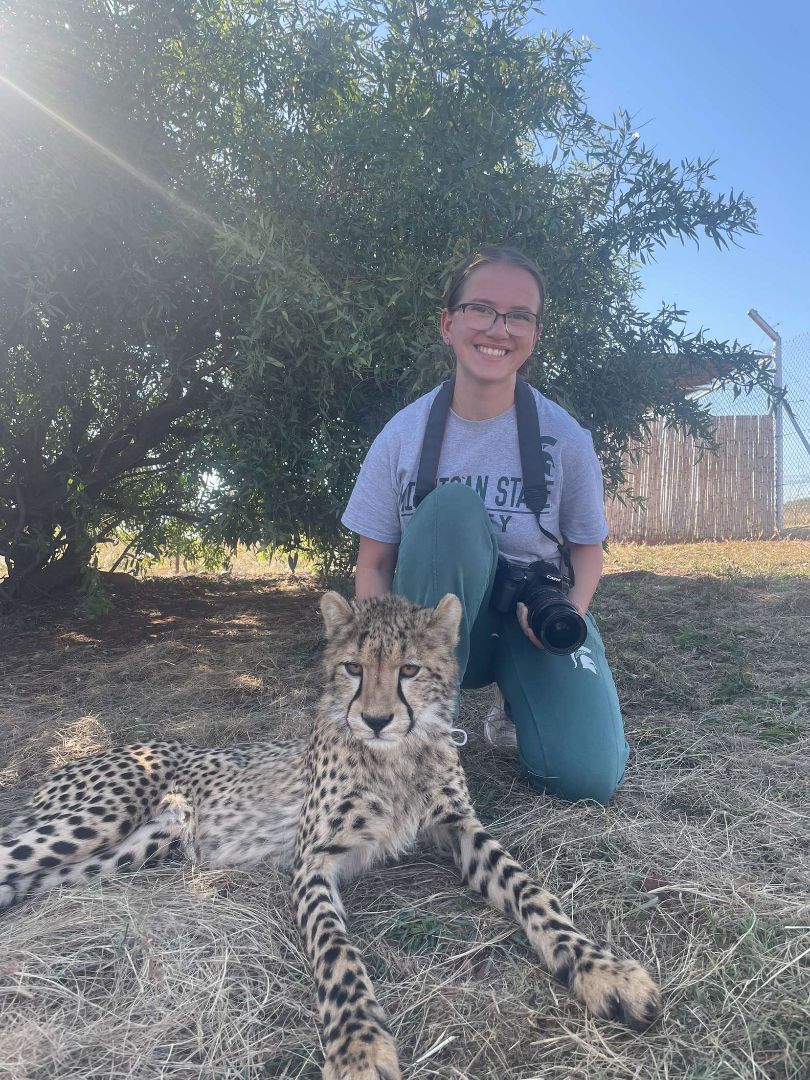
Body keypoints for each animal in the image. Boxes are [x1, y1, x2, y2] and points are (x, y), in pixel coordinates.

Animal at [0, 596, 660, 1075]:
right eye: (352, 668)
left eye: (409, 670)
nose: (376, 718)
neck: (395, 757)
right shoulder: (311, 860)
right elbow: (335, 950)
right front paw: (359, 1047)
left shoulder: (459, 826)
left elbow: (530, 890)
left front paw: (602, 970)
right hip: (93, 819)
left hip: (126, 849)